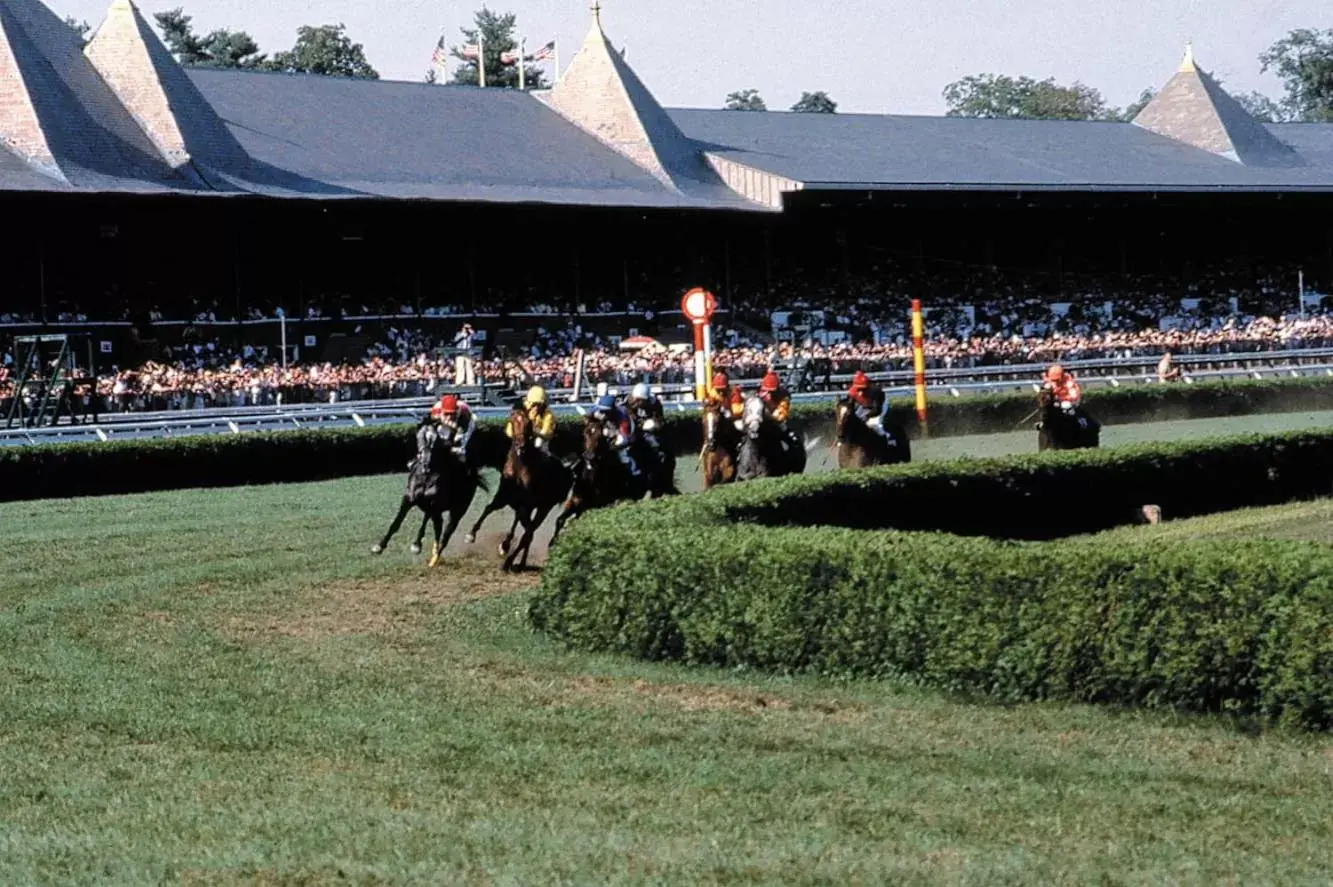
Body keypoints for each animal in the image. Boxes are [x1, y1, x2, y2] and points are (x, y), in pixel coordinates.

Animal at [373, 416, 487, 568]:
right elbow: (396, 523)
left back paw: (436, 557)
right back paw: (434, 555)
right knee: (438, 527)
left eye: (435, 439)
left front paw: (416, 545)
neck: (426, 476)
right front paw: (379, 546)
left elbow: (425, 521)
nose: (425, 463)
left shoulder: (433, 503)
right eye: (420, 436)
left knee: (447, 532)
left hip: (458, 510)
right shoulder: (408, 499)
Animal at [466, 405, 570, 570]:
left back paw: (510, 562)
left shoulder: (526, 504)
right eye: (513, 422)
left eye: (528, 424)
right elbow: (489, 508)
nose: (521, 446)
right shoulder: (505, 496)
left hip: (544, 507)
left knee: (529, 532)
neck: (519, 468)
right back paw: (517, 558)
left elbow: (524, 529)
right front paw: (471, 535)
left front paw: (506, 548)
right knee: (528, 530)